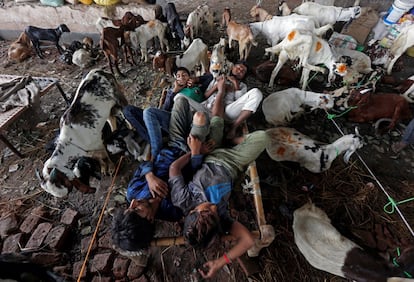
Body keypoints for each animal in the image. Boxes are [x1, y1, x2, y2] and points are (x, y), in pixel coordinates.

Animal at [40, 68, 129, 197]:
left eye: (61, 184)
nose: (65, 196)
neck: (71, 142)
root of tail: (99, 71)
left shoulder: (98, 143)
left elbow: (105, 156)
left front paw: (112, 168)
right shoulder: (90, 152)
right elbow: (99, 158)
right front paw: (103, 168)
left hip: (118, 97)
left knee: (126, 113)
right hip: (108, 110)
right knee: (111, 119)